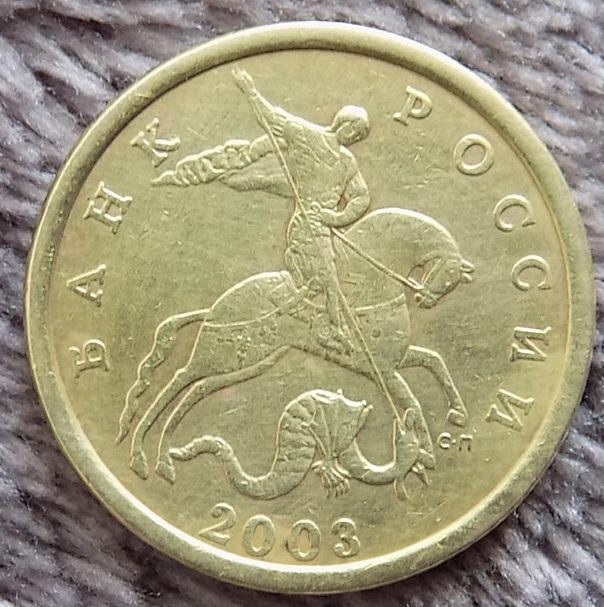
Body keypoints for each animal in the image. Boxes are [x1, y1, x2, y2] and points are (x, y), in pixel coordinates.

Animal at [116, 208, 474, 484]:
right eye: (450, 274)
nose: (426, 300)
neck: (371, 283)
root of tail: (215, 308)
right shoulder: (385, 370)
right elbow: (412, 398)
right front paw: (425, 452)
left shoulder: (393, 362)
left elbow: (434, 362)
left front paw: (456, 415)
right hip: (220, 354)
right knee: (179, 380)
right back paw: (141, 457)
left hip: (249, 362)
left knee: (197, 390)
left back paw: (163, 460)